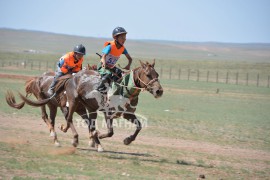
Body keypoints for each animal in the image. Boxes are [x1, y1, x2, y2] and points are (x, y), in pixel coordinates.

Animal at [19, 60, 162, 149]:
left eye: (157, 74)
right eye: (148, 75)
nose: (159, 91)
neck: (124, 89)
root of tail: (71, 77)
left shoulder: (126, 114)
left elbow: (139, 126)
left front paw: (127, 140)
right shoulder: (108, 113)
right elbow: (110, 132)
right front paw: (98, 137)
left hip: (86, 107)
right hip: (70, 103)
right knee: (65, 119)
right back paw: (70, 137)